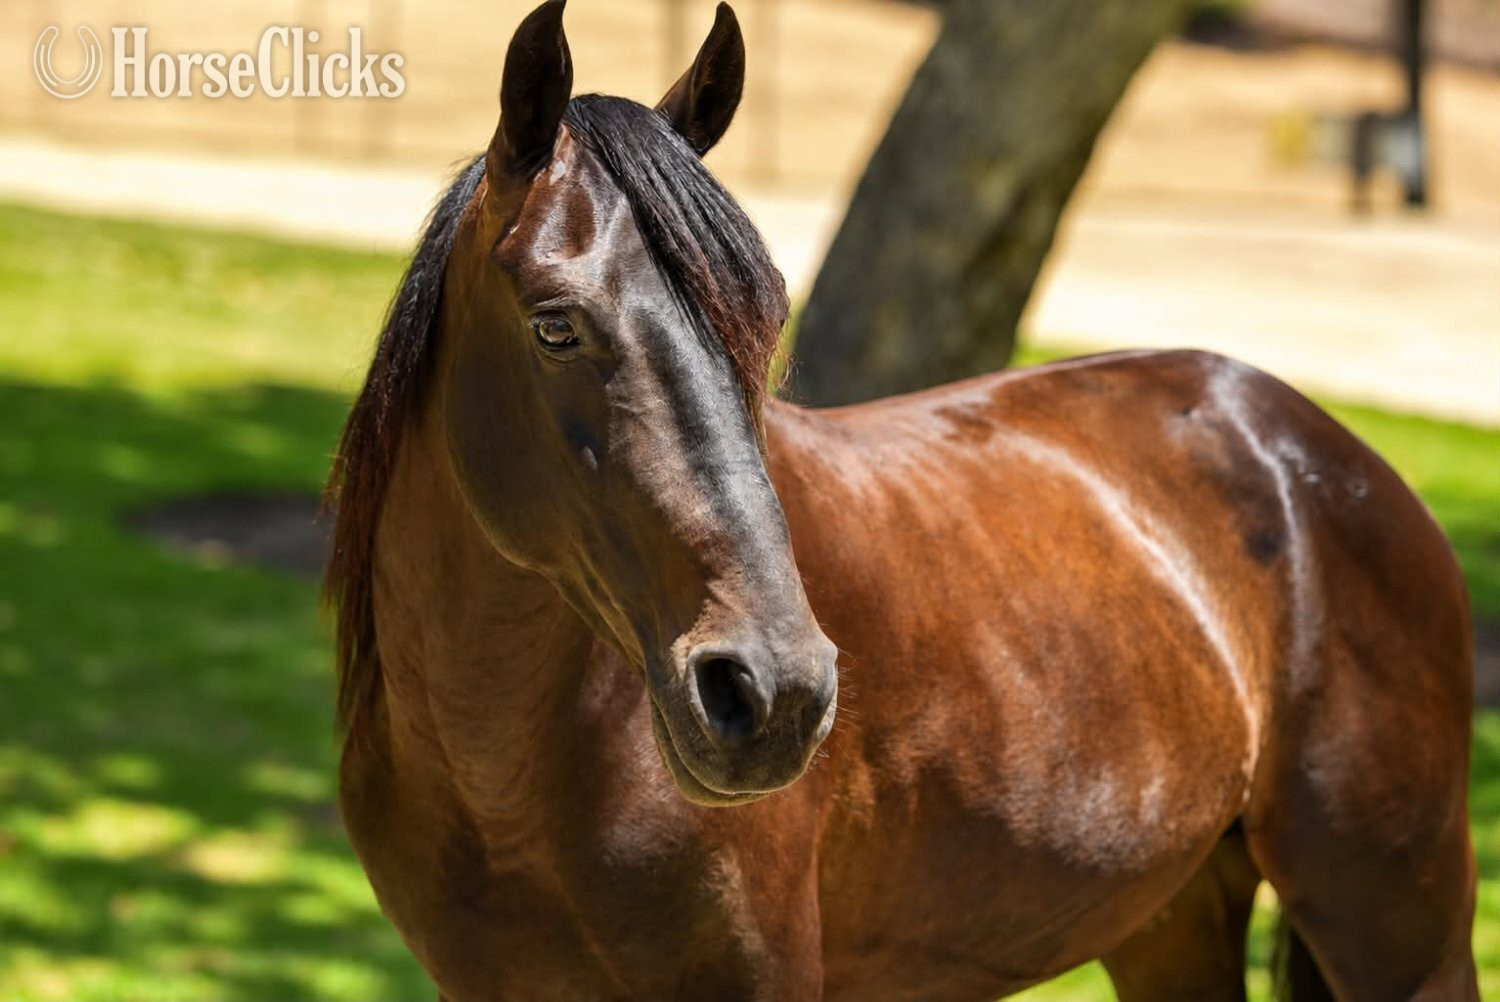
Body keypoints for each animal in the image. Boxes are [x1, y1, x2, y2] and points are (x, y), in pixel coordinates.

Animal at [325, 3, 1478, 999]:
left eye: (761, 323)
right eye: (555, 325)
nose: (775, 696)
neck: (513, 774)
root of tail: (1311, 446)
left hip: (1400, 926)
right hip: (1173, 921)